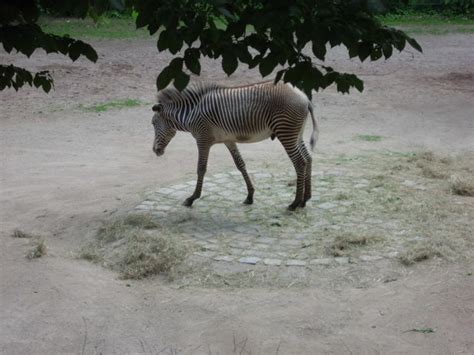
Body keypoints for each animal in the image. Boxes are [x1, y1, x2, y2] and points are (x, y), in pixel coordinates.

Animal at [152, 80, 318, 211]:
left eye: (153, 123)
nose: (155, 150)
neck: (191, 113)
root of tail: (304, 97)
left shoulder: (203, 139)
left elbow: (201, 168)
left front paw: (192, 198)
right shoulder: (229, 140)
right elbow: (240, 164)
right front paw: (250, 196)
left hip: (286, 133)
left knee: (300, 162)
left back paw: (295, 203)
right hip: (296, 134)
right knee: (308, 158)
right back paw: (305, 199)